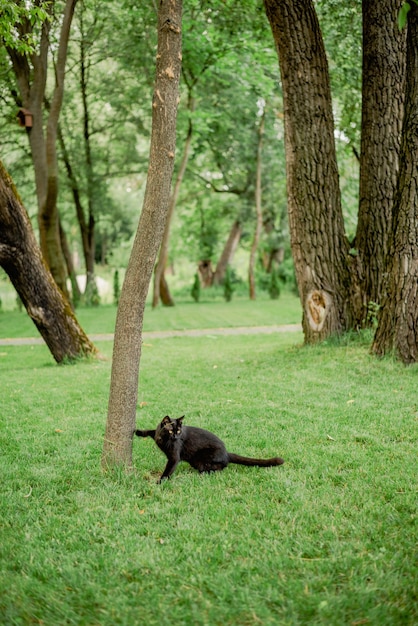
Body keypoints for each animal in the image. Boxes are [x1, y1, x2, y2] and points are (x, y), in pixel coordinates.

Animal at [134, 416, 284, 480]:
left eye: (178, 431)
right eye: (171, 431)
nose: (176, 438)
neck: (162, 439)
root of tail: (227, 453)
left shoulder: (174, 457)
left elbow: (168, 470)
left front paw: (161, 481)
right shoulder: (156, 433)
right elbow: (150, 430)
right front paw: (138, 432)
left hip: (202, 459)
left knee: (221, 466)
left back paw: (204, 473)